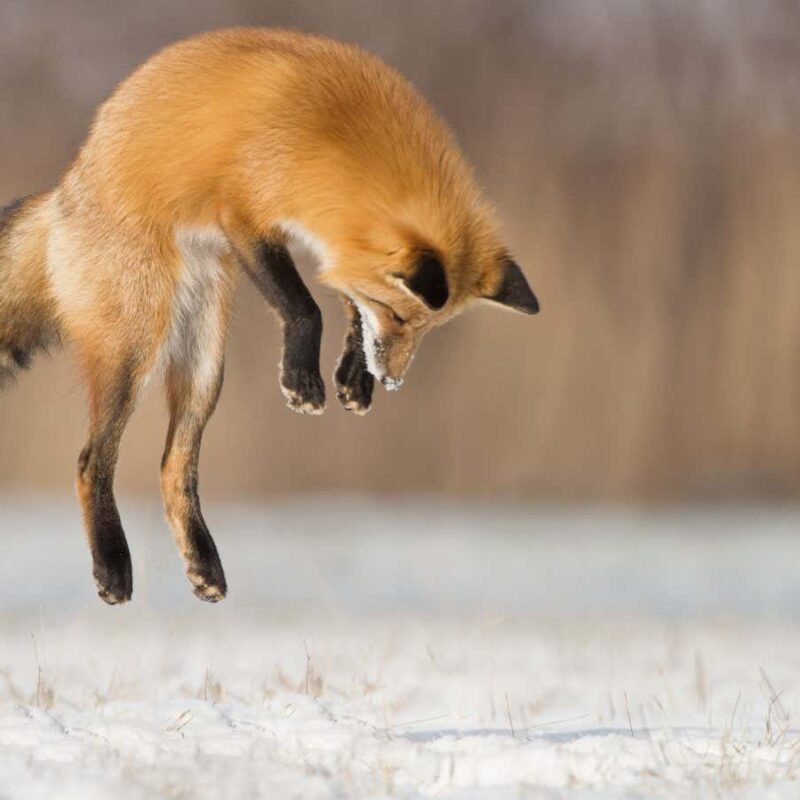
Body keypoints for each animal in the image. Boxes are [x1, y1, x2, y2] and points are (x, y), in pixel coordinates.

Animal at [0, 28, 539, 605]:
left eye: (426, 329)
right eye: (397, 313)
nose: (393, 379)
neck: (337, 129)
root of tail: (64, 193)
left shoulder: (324, 240)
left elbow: (346, 304)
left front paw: (354, 378)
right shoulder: (245, 216)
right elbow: (305, 307)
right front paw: (303, 380)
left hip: (205, 365)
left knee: (174, 468)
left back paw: (204, 565)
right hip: (135, 347)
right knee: (91, 461)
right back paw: (112, 567)